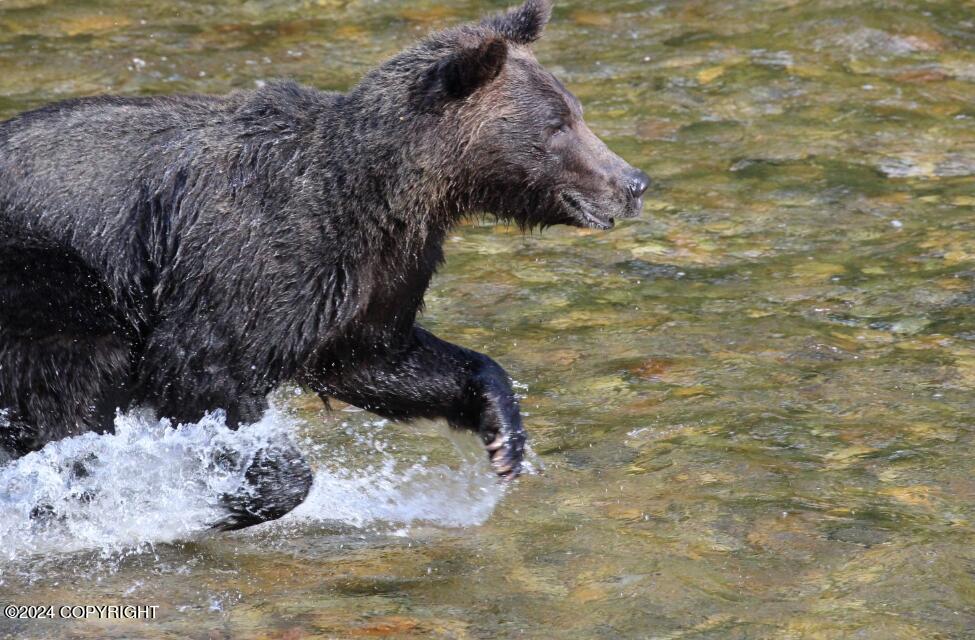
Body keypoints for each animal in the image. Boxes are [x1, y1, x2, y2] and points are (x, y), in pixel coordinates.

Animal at [1, 0, 656, 528]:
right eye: (559, 126)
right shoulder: (259, 255)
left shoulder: (375, 275)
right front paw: (225, 500)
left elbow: (377, 357)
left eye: (575, 110)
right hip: (46, 275)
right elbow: (200, 368)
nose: (633, 182)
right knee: (73, 378)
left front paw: (504, 434)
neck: (383, 196)